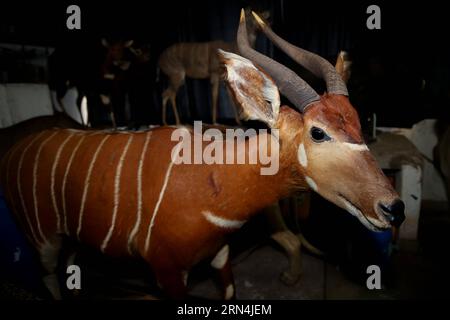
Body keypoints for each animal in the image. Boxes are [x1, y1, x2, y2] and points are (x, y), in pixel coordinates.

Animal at [0, 10, 406, 300]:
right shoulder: (167, 273)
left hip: (69, 240)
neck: (211, 181)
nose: (394, 208)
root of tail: (17, 148)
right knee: (49, 277)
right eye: (318, 132)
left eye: (356, 121)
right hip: (44, 241)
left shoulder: (219, 256)